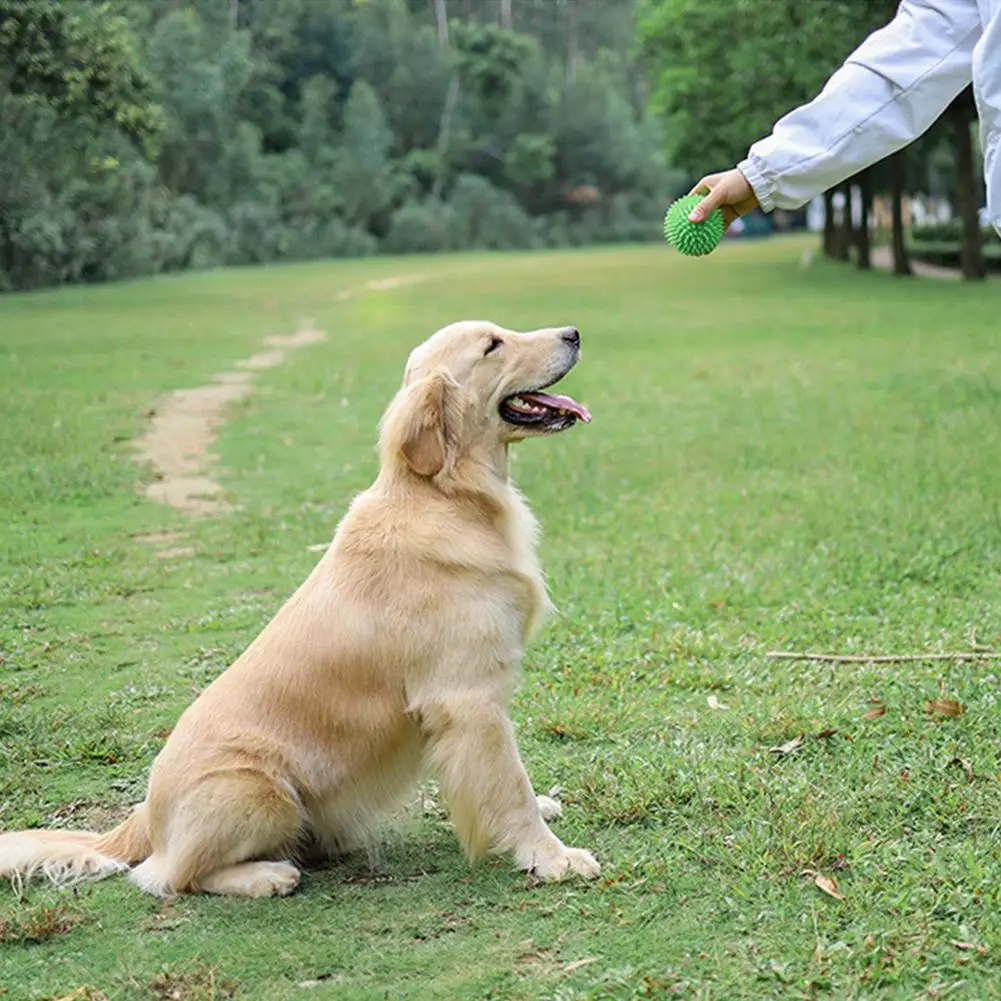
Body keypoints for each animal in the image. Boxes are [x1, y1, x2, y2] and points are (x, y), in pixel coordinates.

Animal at [0, 320, 596, 900]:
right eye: (494, 345)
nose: (573, 333)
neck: (446, 496)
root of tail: (145, 815)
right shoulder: (468, 698)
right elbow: (509, 785)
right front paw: (553, 856)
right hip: (260, 790)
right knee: (167, 875)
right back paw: (265, 876)